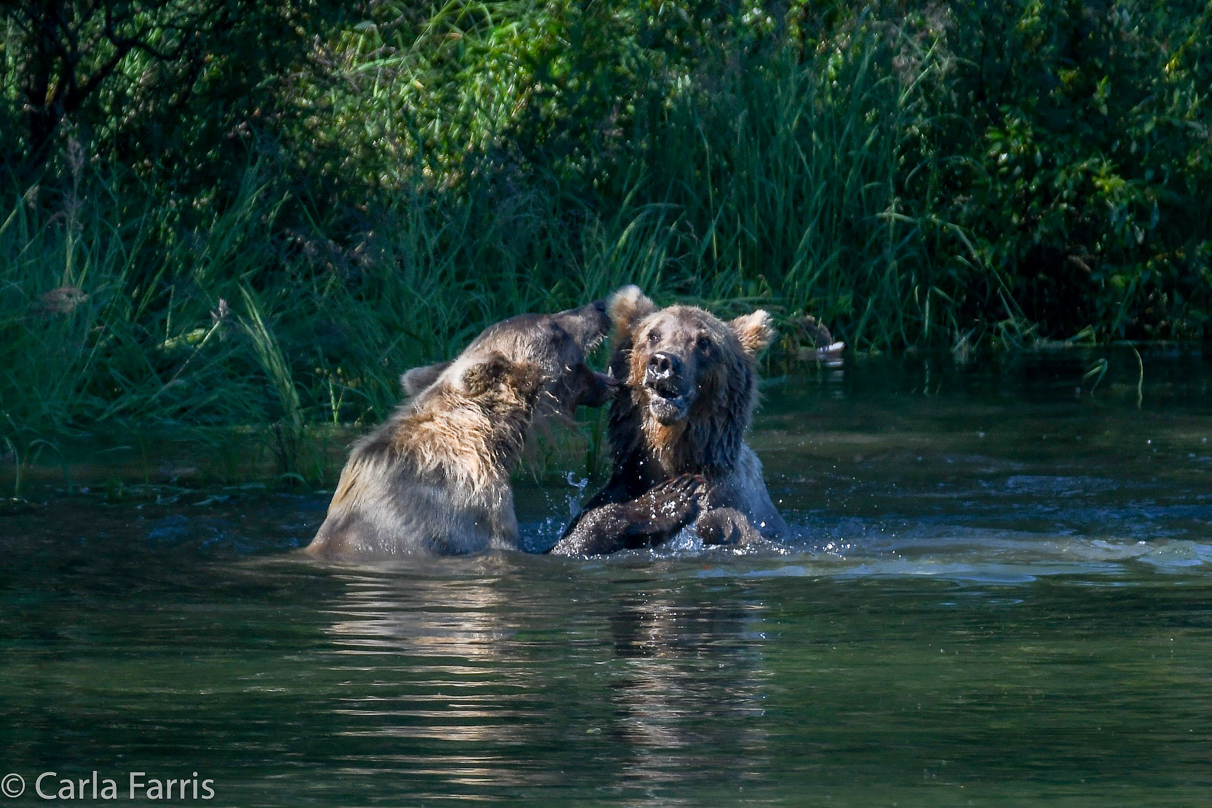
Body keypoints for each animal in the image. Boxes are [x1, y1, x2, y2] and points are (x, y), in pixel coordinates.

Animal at [550, 287, 785, 559]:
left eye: (704, 341)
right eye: (653, 335)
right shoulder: (624, 486)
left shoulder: (737, 509)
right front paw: (660, 506)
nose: (663, 362)